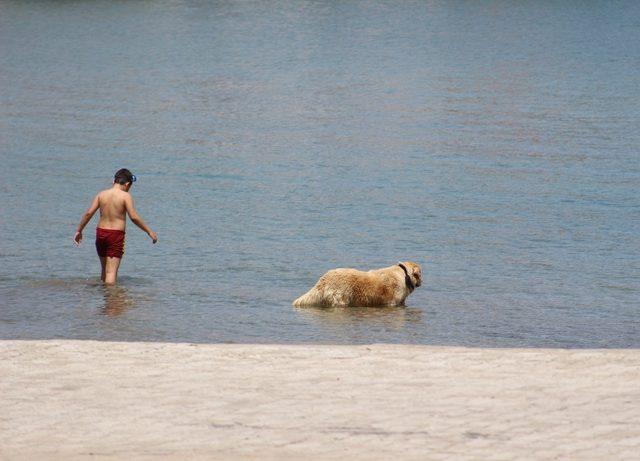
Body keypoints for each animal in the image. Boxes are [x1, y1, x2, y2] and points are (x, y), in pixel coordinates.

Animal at [292, 260, 422, 308]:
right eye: (421, 274)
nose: (422, 282)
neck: (404, 275)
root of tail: (324, 279)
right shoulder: (392, 302)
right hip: (341, 298)